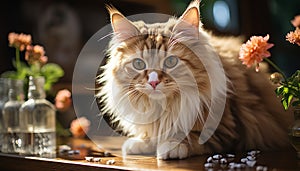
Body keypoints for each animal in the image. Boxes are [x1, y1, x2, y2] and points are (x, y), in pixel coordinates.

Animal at [97, 0, 294, 160]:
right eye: (139, 64)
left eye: (170, 61)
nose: (153, 82)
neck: (165, 107)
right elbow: (152, 133)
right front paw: (140, 142)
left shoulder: (227, 128)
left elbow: (192, 136)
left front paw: (171, 145)